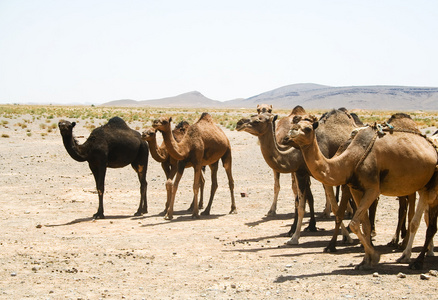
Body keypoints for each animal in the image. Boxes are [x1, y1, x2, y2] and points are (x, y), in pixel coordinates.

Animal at [236, 111, 352, 245]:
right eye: (254, 114)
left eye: (258, 120)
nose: (239, 123)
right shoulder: (300, 173)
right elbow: (300, 203)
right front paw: (294, 233)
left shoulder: (322, 173)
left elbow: (331, 205)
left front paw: (345, 236)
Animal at [288, 112, 438, 270]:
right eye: (296, 124)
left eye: (308, 128)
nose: (292, 131)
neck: (351, 159)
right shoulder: (356, 189)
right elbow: (364, 225)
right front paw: (366, 261)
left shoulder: (373, 189)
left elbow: (354, 224)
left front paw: (375, 256)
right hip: (423, 186)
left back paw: (413, 258)